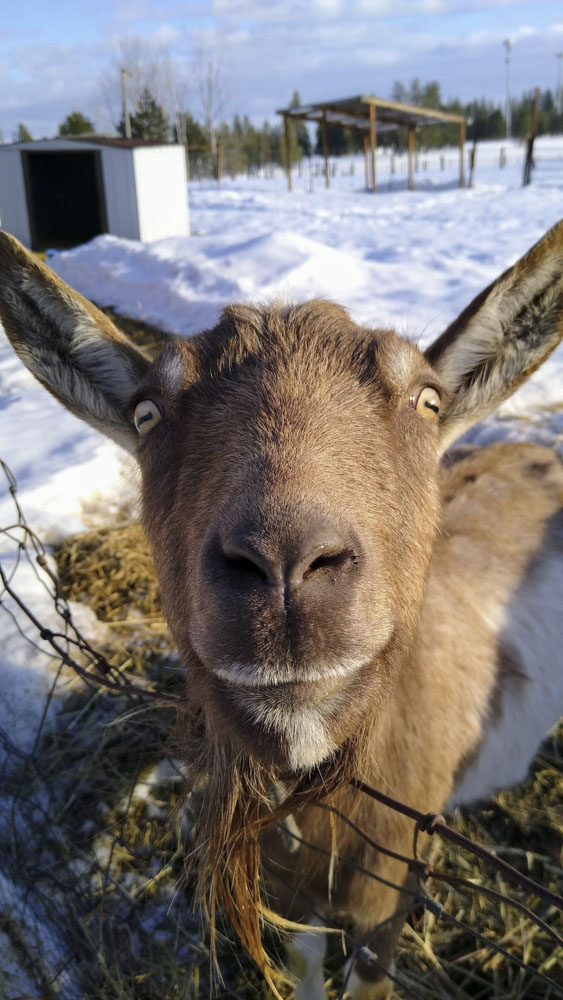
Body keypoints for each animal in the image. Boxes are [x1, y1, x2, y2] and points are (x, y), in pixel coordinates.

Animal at [0, 224, 562, 999]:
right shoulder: (290, 889)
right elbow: (301, 963)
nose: (286, 566)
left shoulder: (392, 887)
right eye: (145, 414)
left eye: (427, 400)